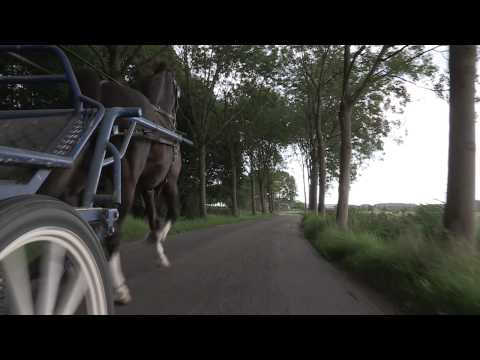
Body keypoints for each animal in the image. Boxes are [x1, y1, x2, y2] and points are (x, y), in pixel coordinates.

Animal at [39, 64, 182, 304]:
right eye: (177, 91)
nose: (175, 118)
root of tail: (104, 89)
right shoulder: (170, 182)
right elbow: (171, 215)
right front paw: (158, 241)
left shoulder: (147, 189)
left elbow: (154, 219)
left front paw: (157, 248)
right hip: (126, 180)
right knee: (113, 228)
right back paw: (118, 288)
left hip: (79, 178)